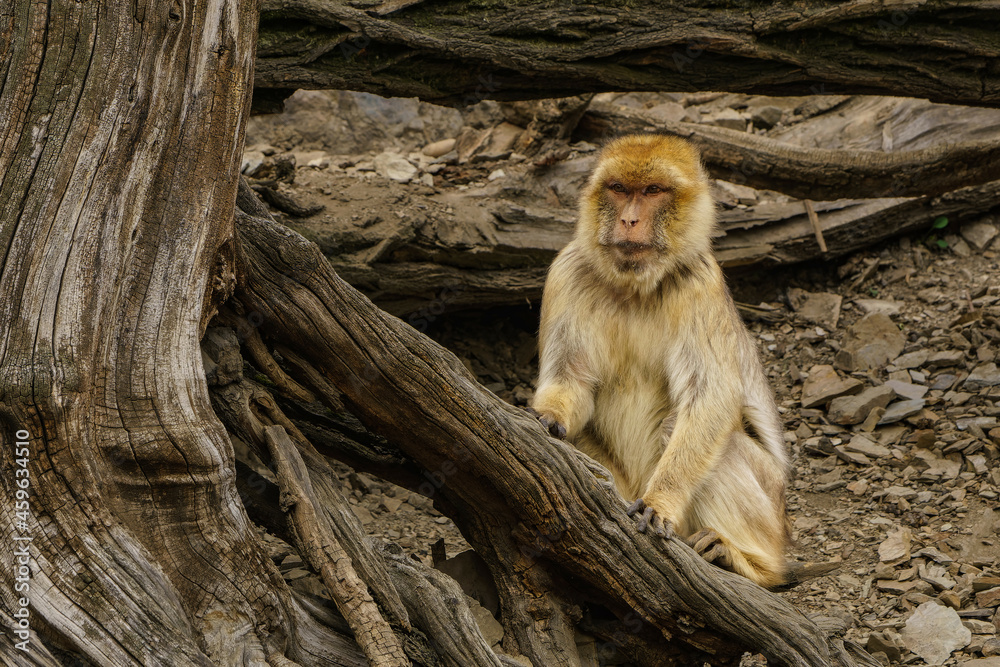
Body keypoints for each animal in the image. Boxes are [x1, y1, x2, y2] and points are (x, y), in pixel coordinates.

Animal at [530, 134, 790, 588]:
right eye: (619, 189)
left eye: (652, 191)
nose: (630, 220)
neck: (635, 286)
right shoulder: (567, 271)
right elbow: (568, 379)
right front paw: (549, 417)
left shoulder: (700, 284)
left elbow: (710, 399)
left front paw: (661, 500)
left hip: (771, 500)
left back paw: (753, 566)